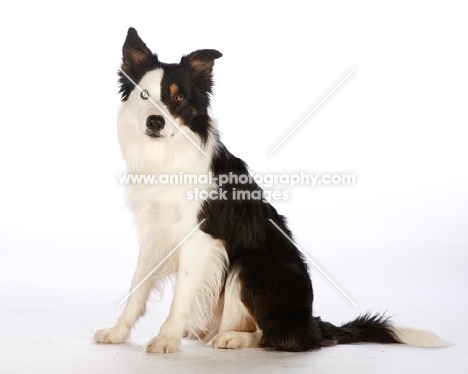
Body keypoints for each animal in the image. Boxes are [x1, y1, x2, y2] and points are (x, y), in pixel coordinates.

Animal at [93, 27, 448, 352]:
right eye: (144, 95)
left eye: (178, 98)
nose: (155, 122)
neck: (168, 156)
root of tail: (311, 321)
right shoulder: (155, 231)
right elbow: (137, 287)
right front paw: (118, 332)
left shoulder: (200, 237)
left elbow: (181, 295)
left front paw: (166, 338)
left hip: (254, 265)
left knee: (281, 336)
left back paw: (234, 337)